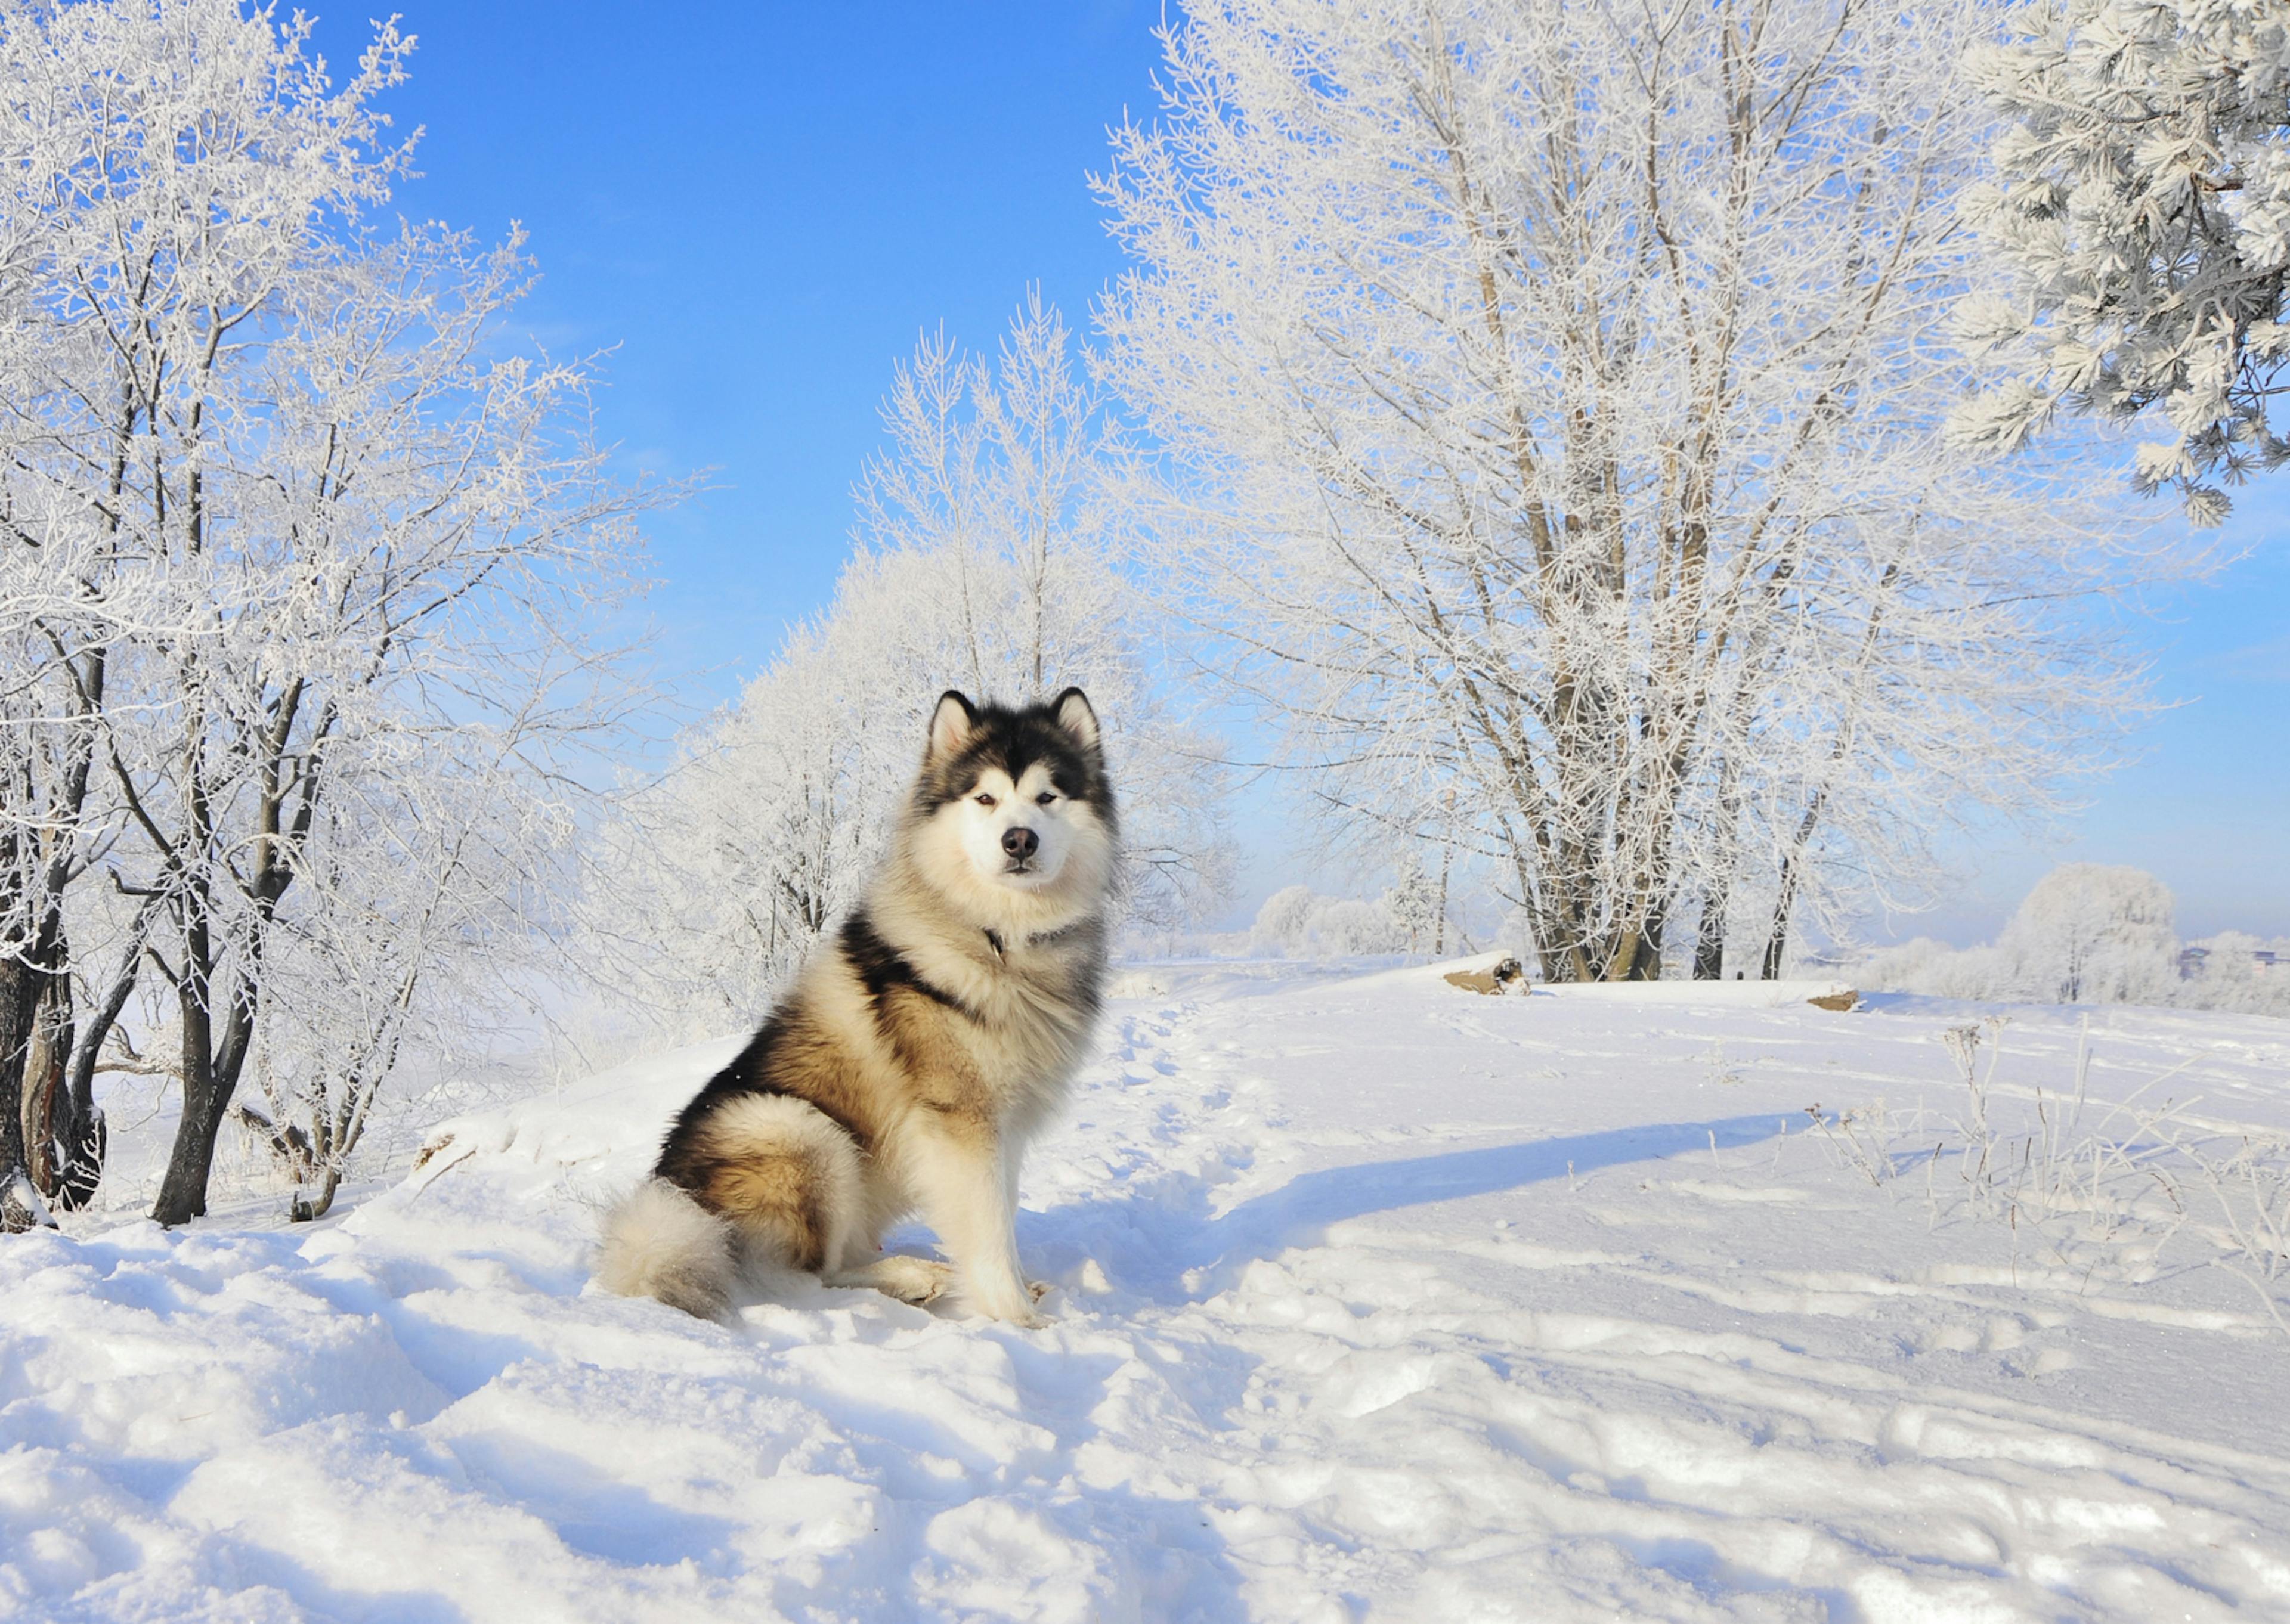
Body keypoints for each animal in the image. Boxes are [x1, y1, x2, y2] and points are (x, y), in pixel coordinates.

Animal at [600, 682, 1117, 1319]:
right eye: (985, 798)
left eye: (1047, 797)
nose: (1019, 839)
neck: (1000, 937)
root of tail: (673, 1205)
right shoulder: (963, 1123)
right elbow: (989, 1228)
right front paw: (1015, 1316)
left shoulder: (1006, 1125)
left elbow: (1002, 1213)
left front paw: (1020, 1290)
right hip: (798, 1128)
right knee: (804, 1280)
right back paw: (907, 1277)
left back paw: (923, 1273)